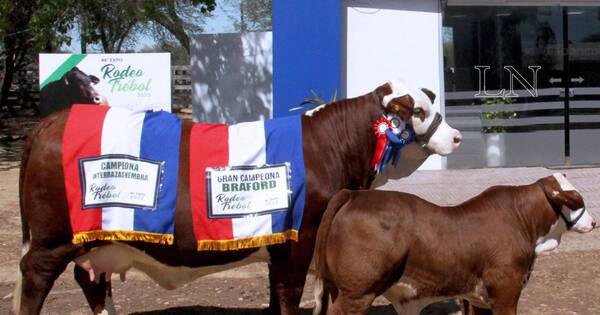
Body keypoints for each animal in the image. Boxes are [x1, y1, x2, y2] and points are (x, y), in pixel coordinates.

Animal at [16, 79, 462, 315]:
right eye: (417, 111)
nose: (456, 136)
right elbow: (289, 295)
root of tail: (53, 120)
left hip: (96, 242)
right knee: (35, 276)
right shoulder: (297, 241)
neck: (329, 146)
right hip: (52, 240)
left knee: (92, 280)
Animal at [314, 174, 596, 314]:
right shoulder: (506, 292)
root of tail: (353, 195)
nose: (594, 222)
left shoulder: (478, 299)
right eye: (578, 199)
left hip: (339, 289)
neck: (522, 220)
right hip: (357, 294)